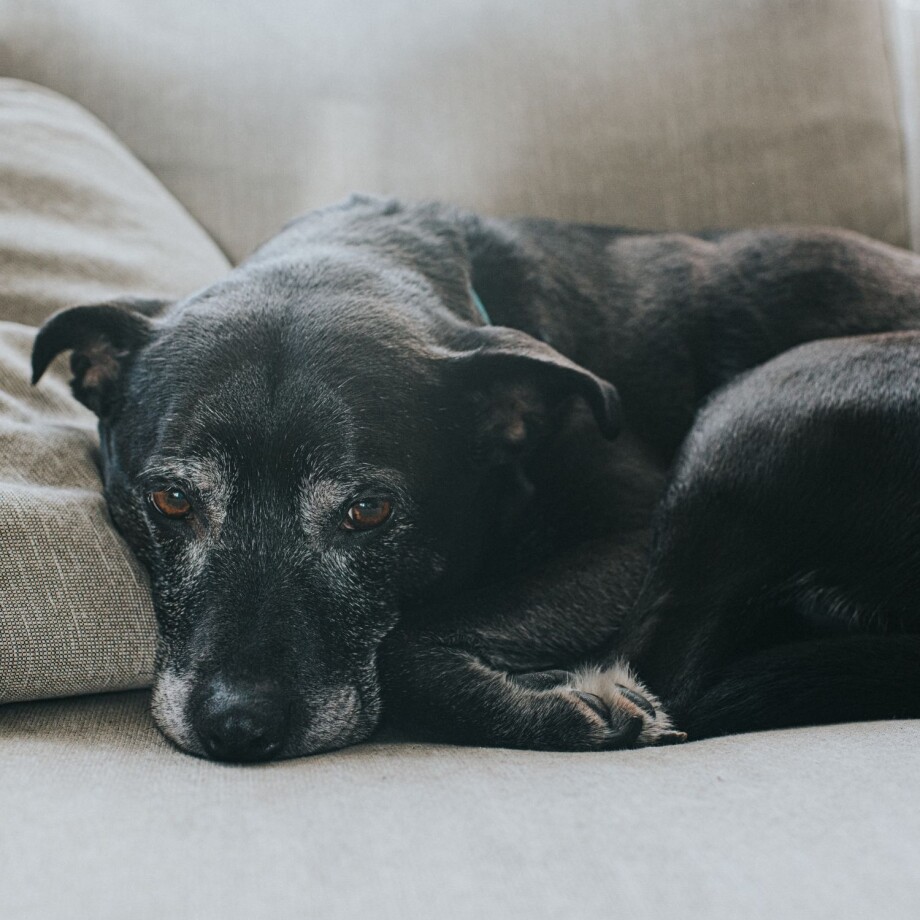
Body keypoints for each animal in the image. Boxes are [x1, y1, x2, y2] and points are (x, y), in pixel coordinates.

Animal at [28, 196, 920, 760]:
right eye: (172, 499)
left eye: (369, 512)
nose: (238, 727)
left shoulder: (629, 534)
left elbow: (404, 644)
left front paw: (548, 708)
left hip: (764, 405)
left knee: (670, 672)